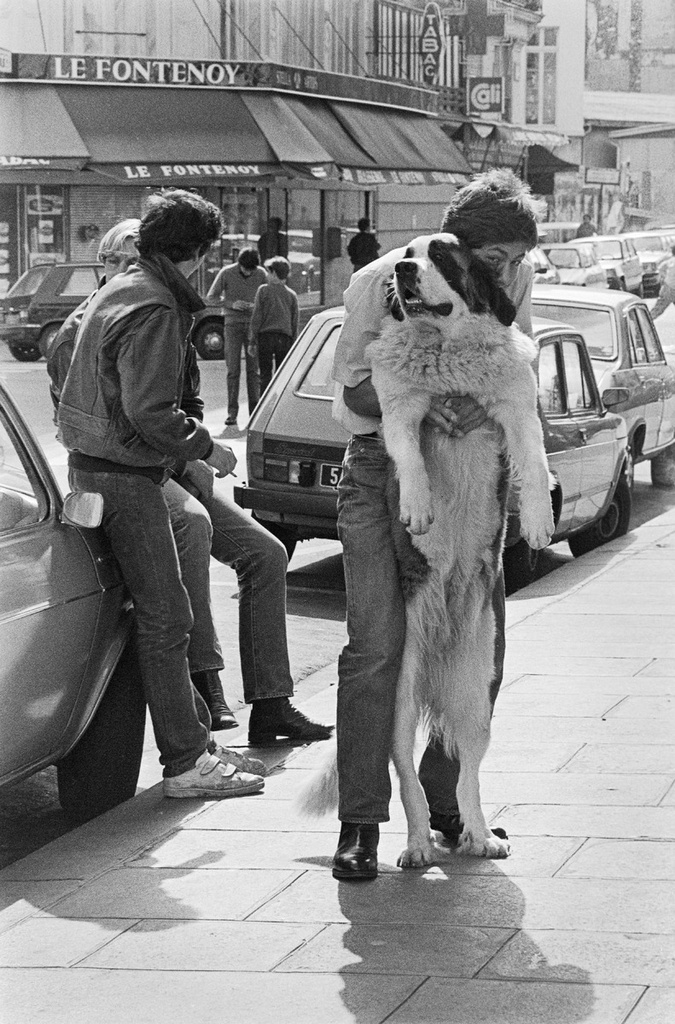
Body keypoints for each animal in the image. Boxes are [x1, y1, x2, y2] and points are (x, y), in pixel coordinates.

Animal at [301, 235, 553, 868]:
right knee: (404, 774)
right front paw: (417, 507)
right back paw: (414, 844)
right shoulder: (401, 409)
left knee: (465, 771)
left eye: (440, 257)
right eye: (406, 253)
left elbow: (535, 461)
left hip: (479, 694)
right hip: (398, 694)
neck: (445, 347)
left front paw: (540, 521)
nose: (404, 269)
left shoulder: (515, 406)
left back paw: (478, 833)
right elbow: (410, 455)